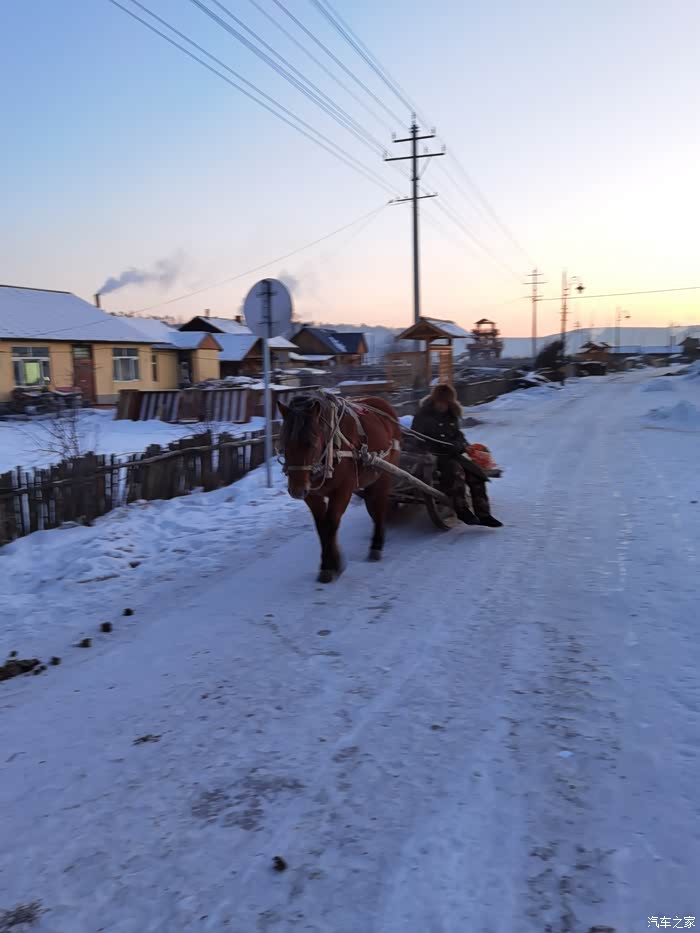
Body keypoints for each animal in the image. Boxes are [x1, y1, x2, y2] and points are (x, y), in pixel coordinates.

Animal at [277, 392, 402, 583]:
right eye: (284, 443)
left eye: (312, 443)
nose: (297, 491)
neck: (330, 450)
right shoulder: (312, 495)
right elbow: (322, 526)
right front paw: (330, 563)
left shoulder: (343, 490)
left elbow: (331, 523)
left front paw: (331, 565)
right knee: (374, 506)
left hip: (384, 474)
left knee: (380, 506)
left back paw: (376, 545)